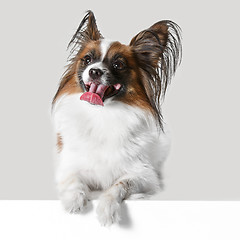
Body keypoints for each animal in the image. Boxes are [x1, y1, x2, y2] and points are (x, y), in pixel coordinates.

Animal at [51, 10, 181, 226]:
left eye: (118, 65)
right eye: (87, 59)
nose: (94, 71)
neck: (102, 114)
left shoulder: (145, 176)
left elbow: (118, 185)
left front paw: (107, 209)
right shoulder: (68, 167)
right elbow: (74, 181)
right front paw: (74, 200)